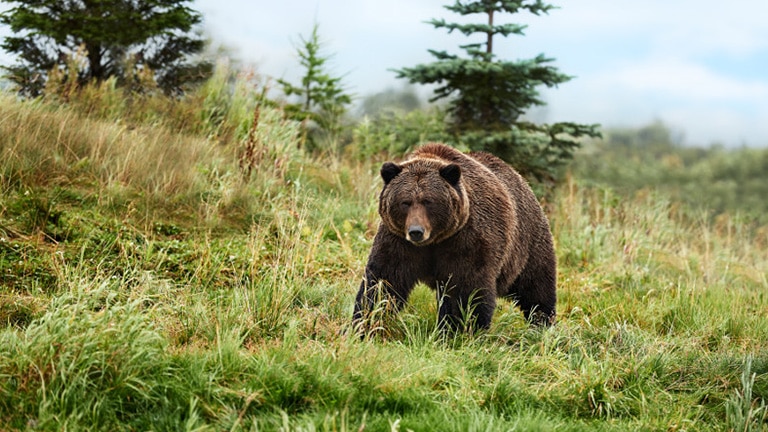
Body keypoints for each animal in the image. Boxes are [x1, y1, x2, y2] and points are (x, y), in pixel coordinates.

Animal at [352, 142, 556, 334]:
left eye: (428, 201)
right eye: (405, 202)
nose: (416, 231)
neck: (433, 241)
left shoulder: (466, 240)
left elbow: (465, 289)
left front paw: (459, 329)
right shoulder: (398, 241)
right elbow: (384, 282)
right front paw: (365, 323)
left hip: (526, 245)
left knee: (536, 287)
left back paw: (542, 323)